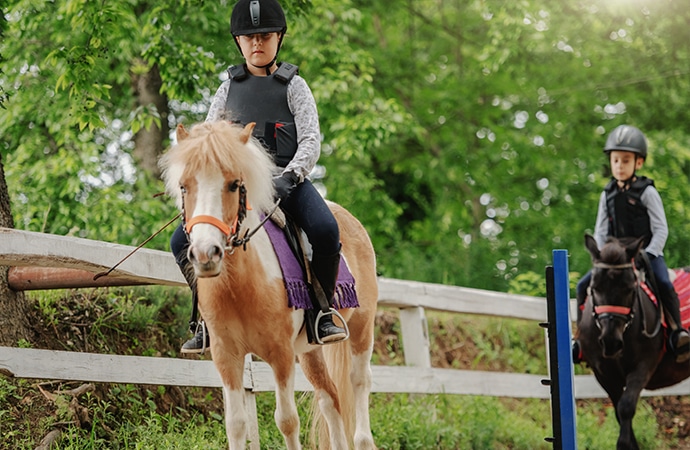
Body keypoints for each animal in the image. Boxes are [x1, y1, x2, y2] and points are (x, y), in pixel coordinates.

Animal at [158, 120, 376, 450]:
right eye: (184, 186)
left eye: (234, 184)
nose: (206, 254)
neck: (241, 285)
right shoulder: (226, 355)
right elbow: (236, 424)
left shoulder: (280, 354)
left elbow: (287, 421)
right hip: (310, 351)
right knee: (330, 398)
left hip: (362, 328)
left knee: (358, 384)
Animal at [576, 236, 688, 450]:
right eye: (595, 288)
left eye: (629, 288)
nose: (610, 342)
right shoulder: (604, 375)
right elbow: (619, 412)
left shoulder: (642, 368)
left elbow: (626, 407)